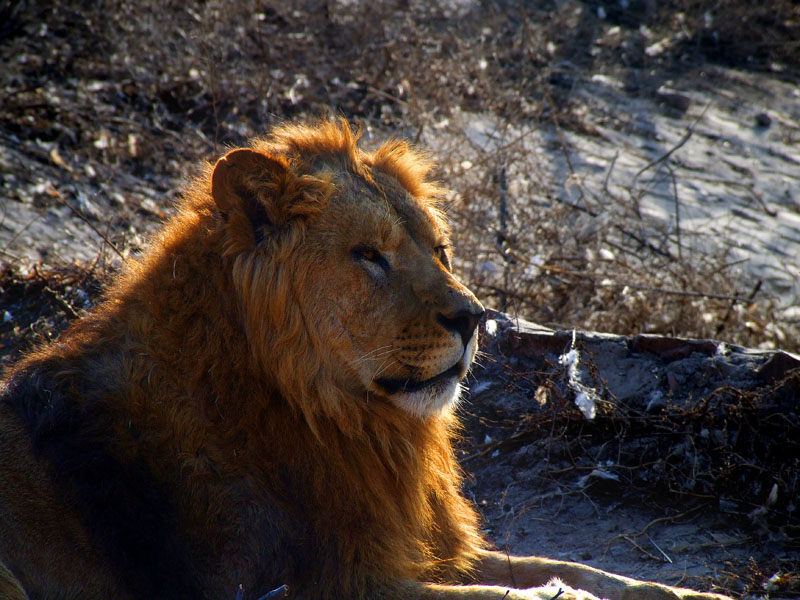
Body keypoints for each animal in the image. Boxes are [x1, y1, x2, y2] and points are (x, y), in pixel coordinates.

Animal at [0, 118, 732, 600]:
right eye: (368, 256)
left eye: (439, 250)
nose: (474, 319)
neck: (352, 425)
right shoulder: (322, 584)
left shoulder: (427, 548)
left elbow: (587, 570)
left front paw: (693, 595)